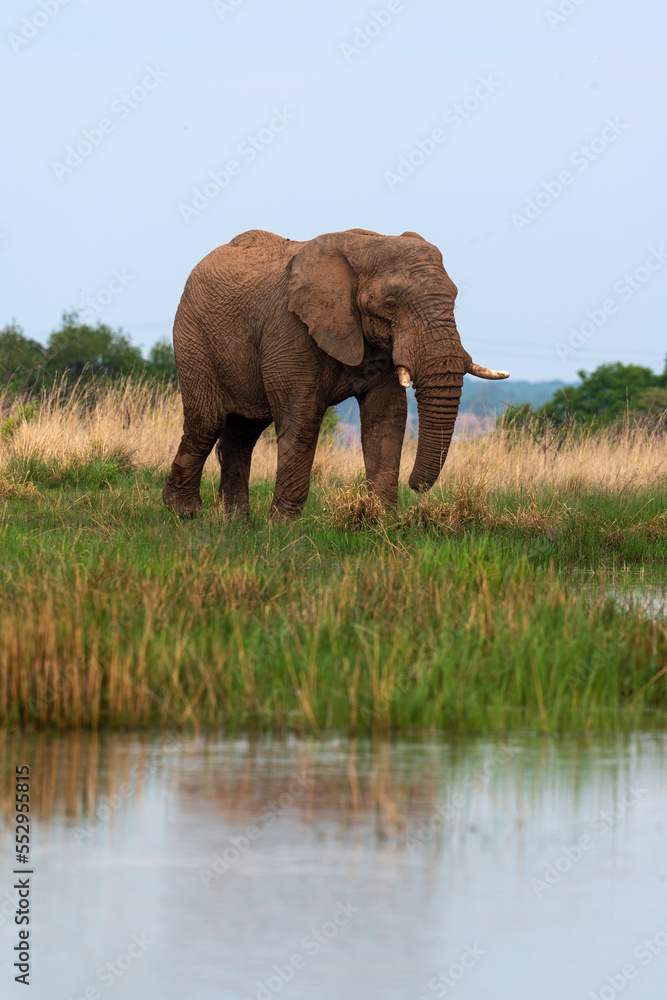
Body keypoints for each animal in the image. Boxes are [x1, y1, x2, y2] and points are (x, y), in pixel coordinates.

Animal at [162, 228, 508, 518]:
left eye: (455, 298)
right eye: (390, 304)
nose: (417, 488)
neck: (366, 244)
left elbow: (387, 418)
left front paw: (383, 522)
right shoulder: (290, 328)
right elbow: (302, 419)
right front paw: (283, 528)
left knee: (243, 433)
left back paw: (236, 524)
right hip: (193, 337)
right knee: (206, 423)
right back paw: (184, 513)